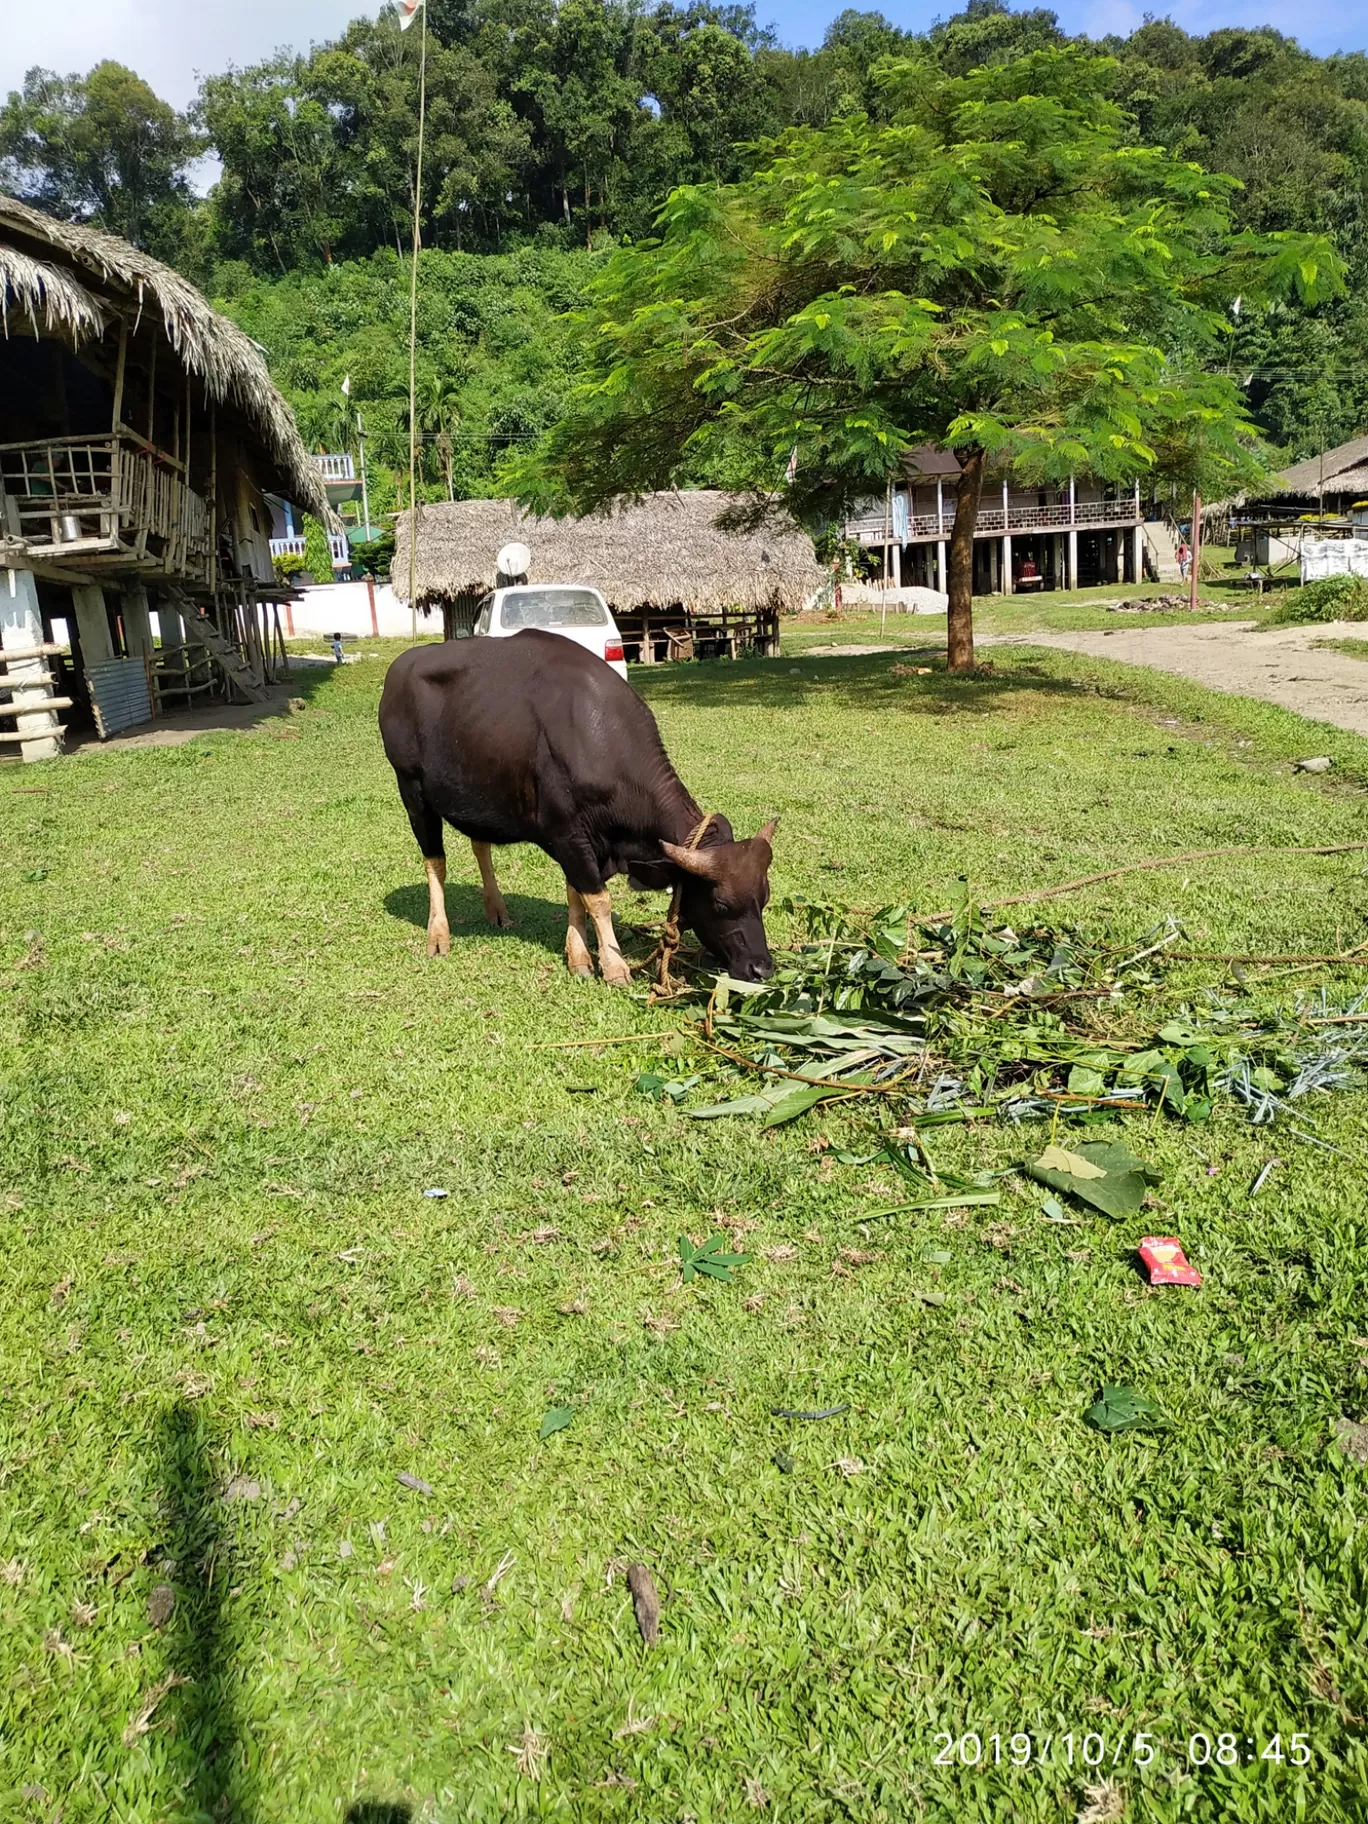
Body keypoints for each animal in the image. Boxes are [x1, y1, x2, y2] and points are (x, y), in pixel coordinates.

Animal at [381, 634, 777, 992]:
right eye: (721, 904)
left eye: (764, 898)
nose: (761, 968)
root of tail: (400, 669)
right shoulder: (569, 835)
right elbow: (597, 898)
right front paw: (614, 967)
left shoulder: (583, 844)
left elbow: (576, 894)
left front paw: (579, 958)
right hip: (411, 791)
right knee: (435, 861)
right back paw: (438, 934)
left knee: (481, 846)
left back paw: (497, 910)